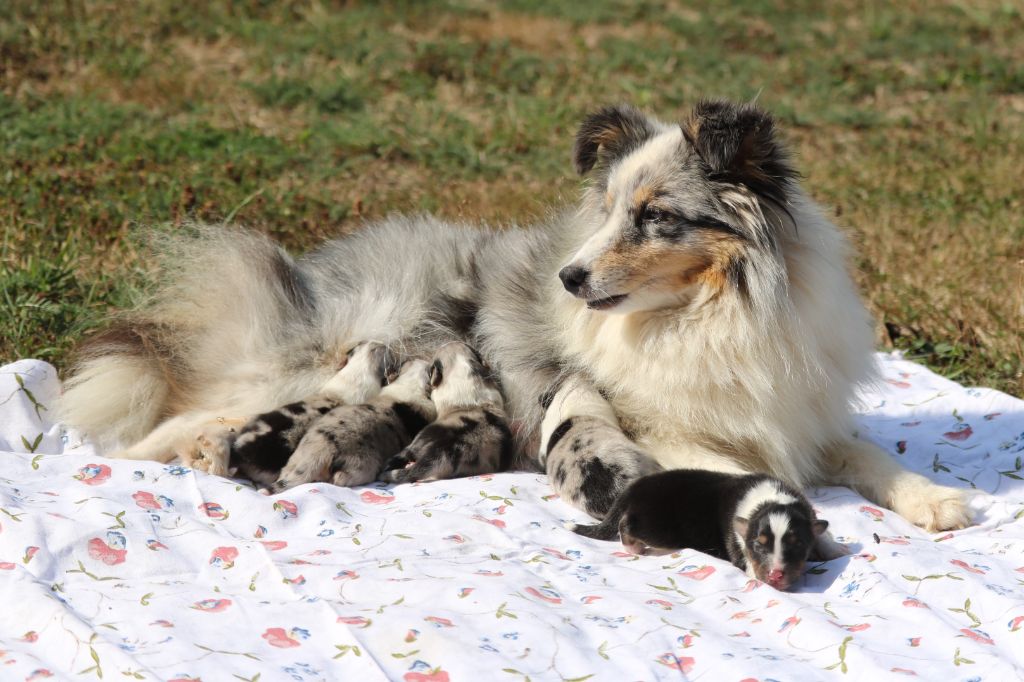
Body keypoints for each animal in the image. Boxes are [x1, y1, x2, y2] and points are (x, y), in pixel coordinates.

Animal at [573, 466, 835, 589]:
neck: (770, 499)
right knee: (626, 525)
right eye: (758, 546)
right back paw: (633, 547)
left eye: (797, 544)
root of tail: (632, 488)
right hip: (658, 527)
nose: (775, 575)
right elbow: (748, 563)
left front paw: (833, 548)